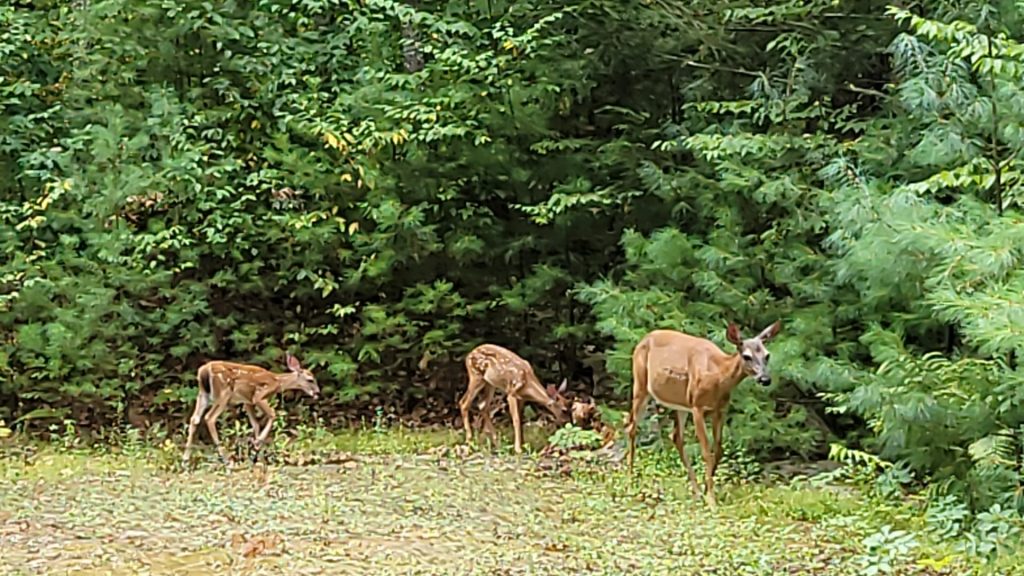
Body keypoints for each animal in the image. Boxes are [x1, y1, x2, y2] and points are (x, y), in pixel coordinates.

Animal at [179, 350, 315, 467]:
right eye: (310, 380)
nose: (317, 393)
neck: (277, 382)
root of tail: (204, 371)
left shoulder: (247, 402)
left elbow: (255, 424)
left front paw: (257, 455)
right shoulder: (259, 395)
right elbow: (272, 414)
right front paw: (258, 444)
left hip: (203, 394)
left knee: (195, 419)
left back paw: (185, 461)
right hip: (224, 393)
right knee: (209, 418)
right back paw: (227, 460)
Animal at [622, 319, 782, 504]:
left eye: (767, 355)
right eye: (746, 356)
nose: (765, 379)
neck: (718, 376)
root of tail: (644, 338)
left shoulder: (720, 410)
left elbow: (718, 450)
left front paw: (707, 491)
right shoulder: (697, 407)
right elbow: (706, 452)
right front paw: (711, 499)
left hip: (682, 404)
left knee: (675, 436)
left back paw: (696, 491)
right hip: (641, 385)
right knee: (631, 426)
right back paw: (629, 483)